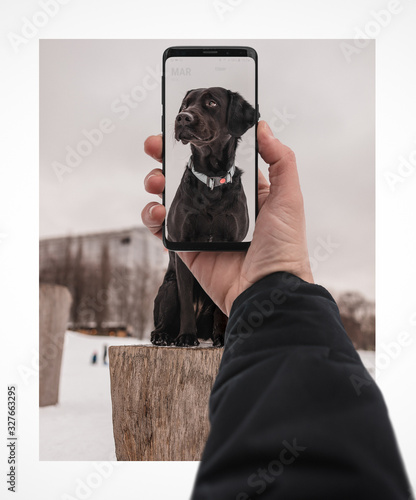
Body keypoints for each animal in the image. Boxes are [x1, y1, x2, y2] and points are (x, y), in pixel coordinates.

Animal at [151, 88, 255, 346]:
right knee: (163, 319)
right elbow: (186, 301)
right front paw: (186, 336)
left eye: (212, 103)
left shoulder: (231, 242)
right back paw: (163, 335)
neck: (211, 180)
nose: (182, 117)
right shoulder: (183, 246)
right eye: (185, 104)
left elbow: (221, 307)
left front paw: (222, 336)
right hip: (168, 287)